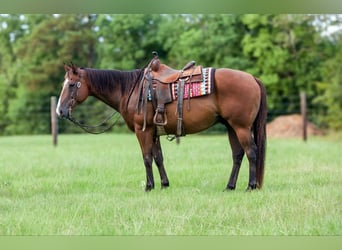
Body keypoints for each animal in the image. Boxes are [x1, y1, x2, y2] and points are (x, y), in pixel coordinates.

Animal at [56, 58, 268, 191]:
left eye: (72, 85)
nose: (60, 111)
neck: (131, 90)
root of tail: (252, 78)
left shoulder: (143, 131)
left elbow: (146, 158)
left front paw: (149, 186)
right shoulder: (154, 131)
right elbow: (158, 158)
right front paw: (164, 184)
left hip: (241, 127)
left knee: (252, 152)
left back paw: (250, 186)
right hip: (231, 127)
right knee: (238, 155)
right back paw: (230, 186)